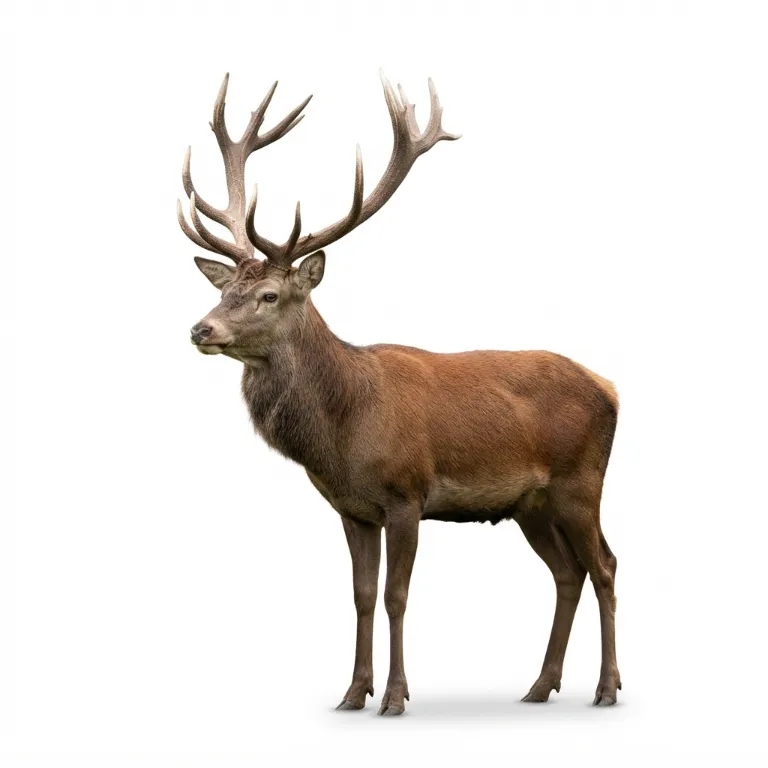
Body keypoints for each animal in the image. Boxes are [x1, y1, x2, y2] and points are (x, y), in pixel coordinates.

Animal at [178, 72, 621, 715]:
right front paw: (351, 692)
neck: (343, 431)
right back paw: (540, 686)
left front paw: (394, 695)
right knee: (568, 573)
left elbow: (396, 596)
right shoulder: (351, 508)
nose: (200, 329)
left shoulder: (407, 494)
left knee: (606, 565)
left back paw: (607, 688)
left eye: (268, 295)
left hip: (581, 482)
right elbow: (361, 595)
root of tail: (610, 387)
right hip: (531, 505)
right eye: (224, 289)